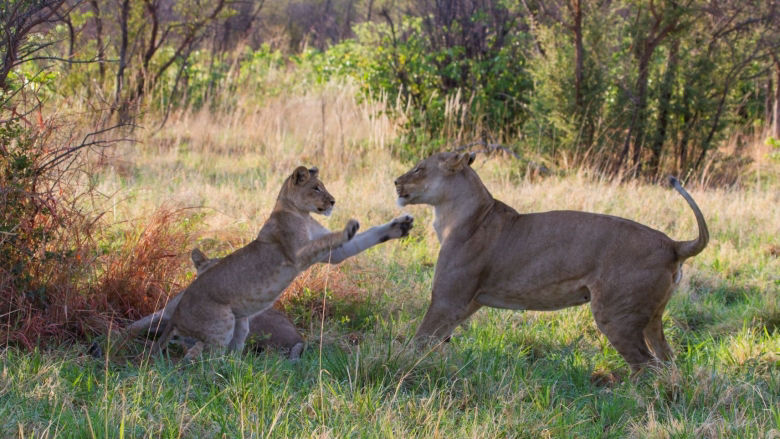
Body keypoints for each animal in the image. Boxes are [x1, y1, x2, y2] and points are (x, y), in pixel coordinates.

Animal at [145, 166, 412, 360]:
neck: (301, 213)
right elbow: (328, 239)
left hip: (241, 323)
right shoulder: (299, 254)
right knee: (201, 358)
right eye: (316, 188)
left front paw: (400, 226)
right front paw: (349, 228)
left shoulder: (333, 254)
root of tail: (176, 313)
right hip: (222, 324)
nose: (333, 201)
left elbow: (366, 237)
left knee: (224, 352)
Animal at [394, 151, 708, 372]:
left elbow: (420, 339)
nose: (396, 182)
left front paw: (405, 366)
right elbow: (435, 340)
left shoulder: (447, 299)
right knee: (668, 361)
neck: (454, 214)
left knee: (647, 365)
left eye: (419, 168)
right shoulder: (467, 302)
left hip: (617, 316)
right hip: (652, 318)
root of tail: (673, 245)